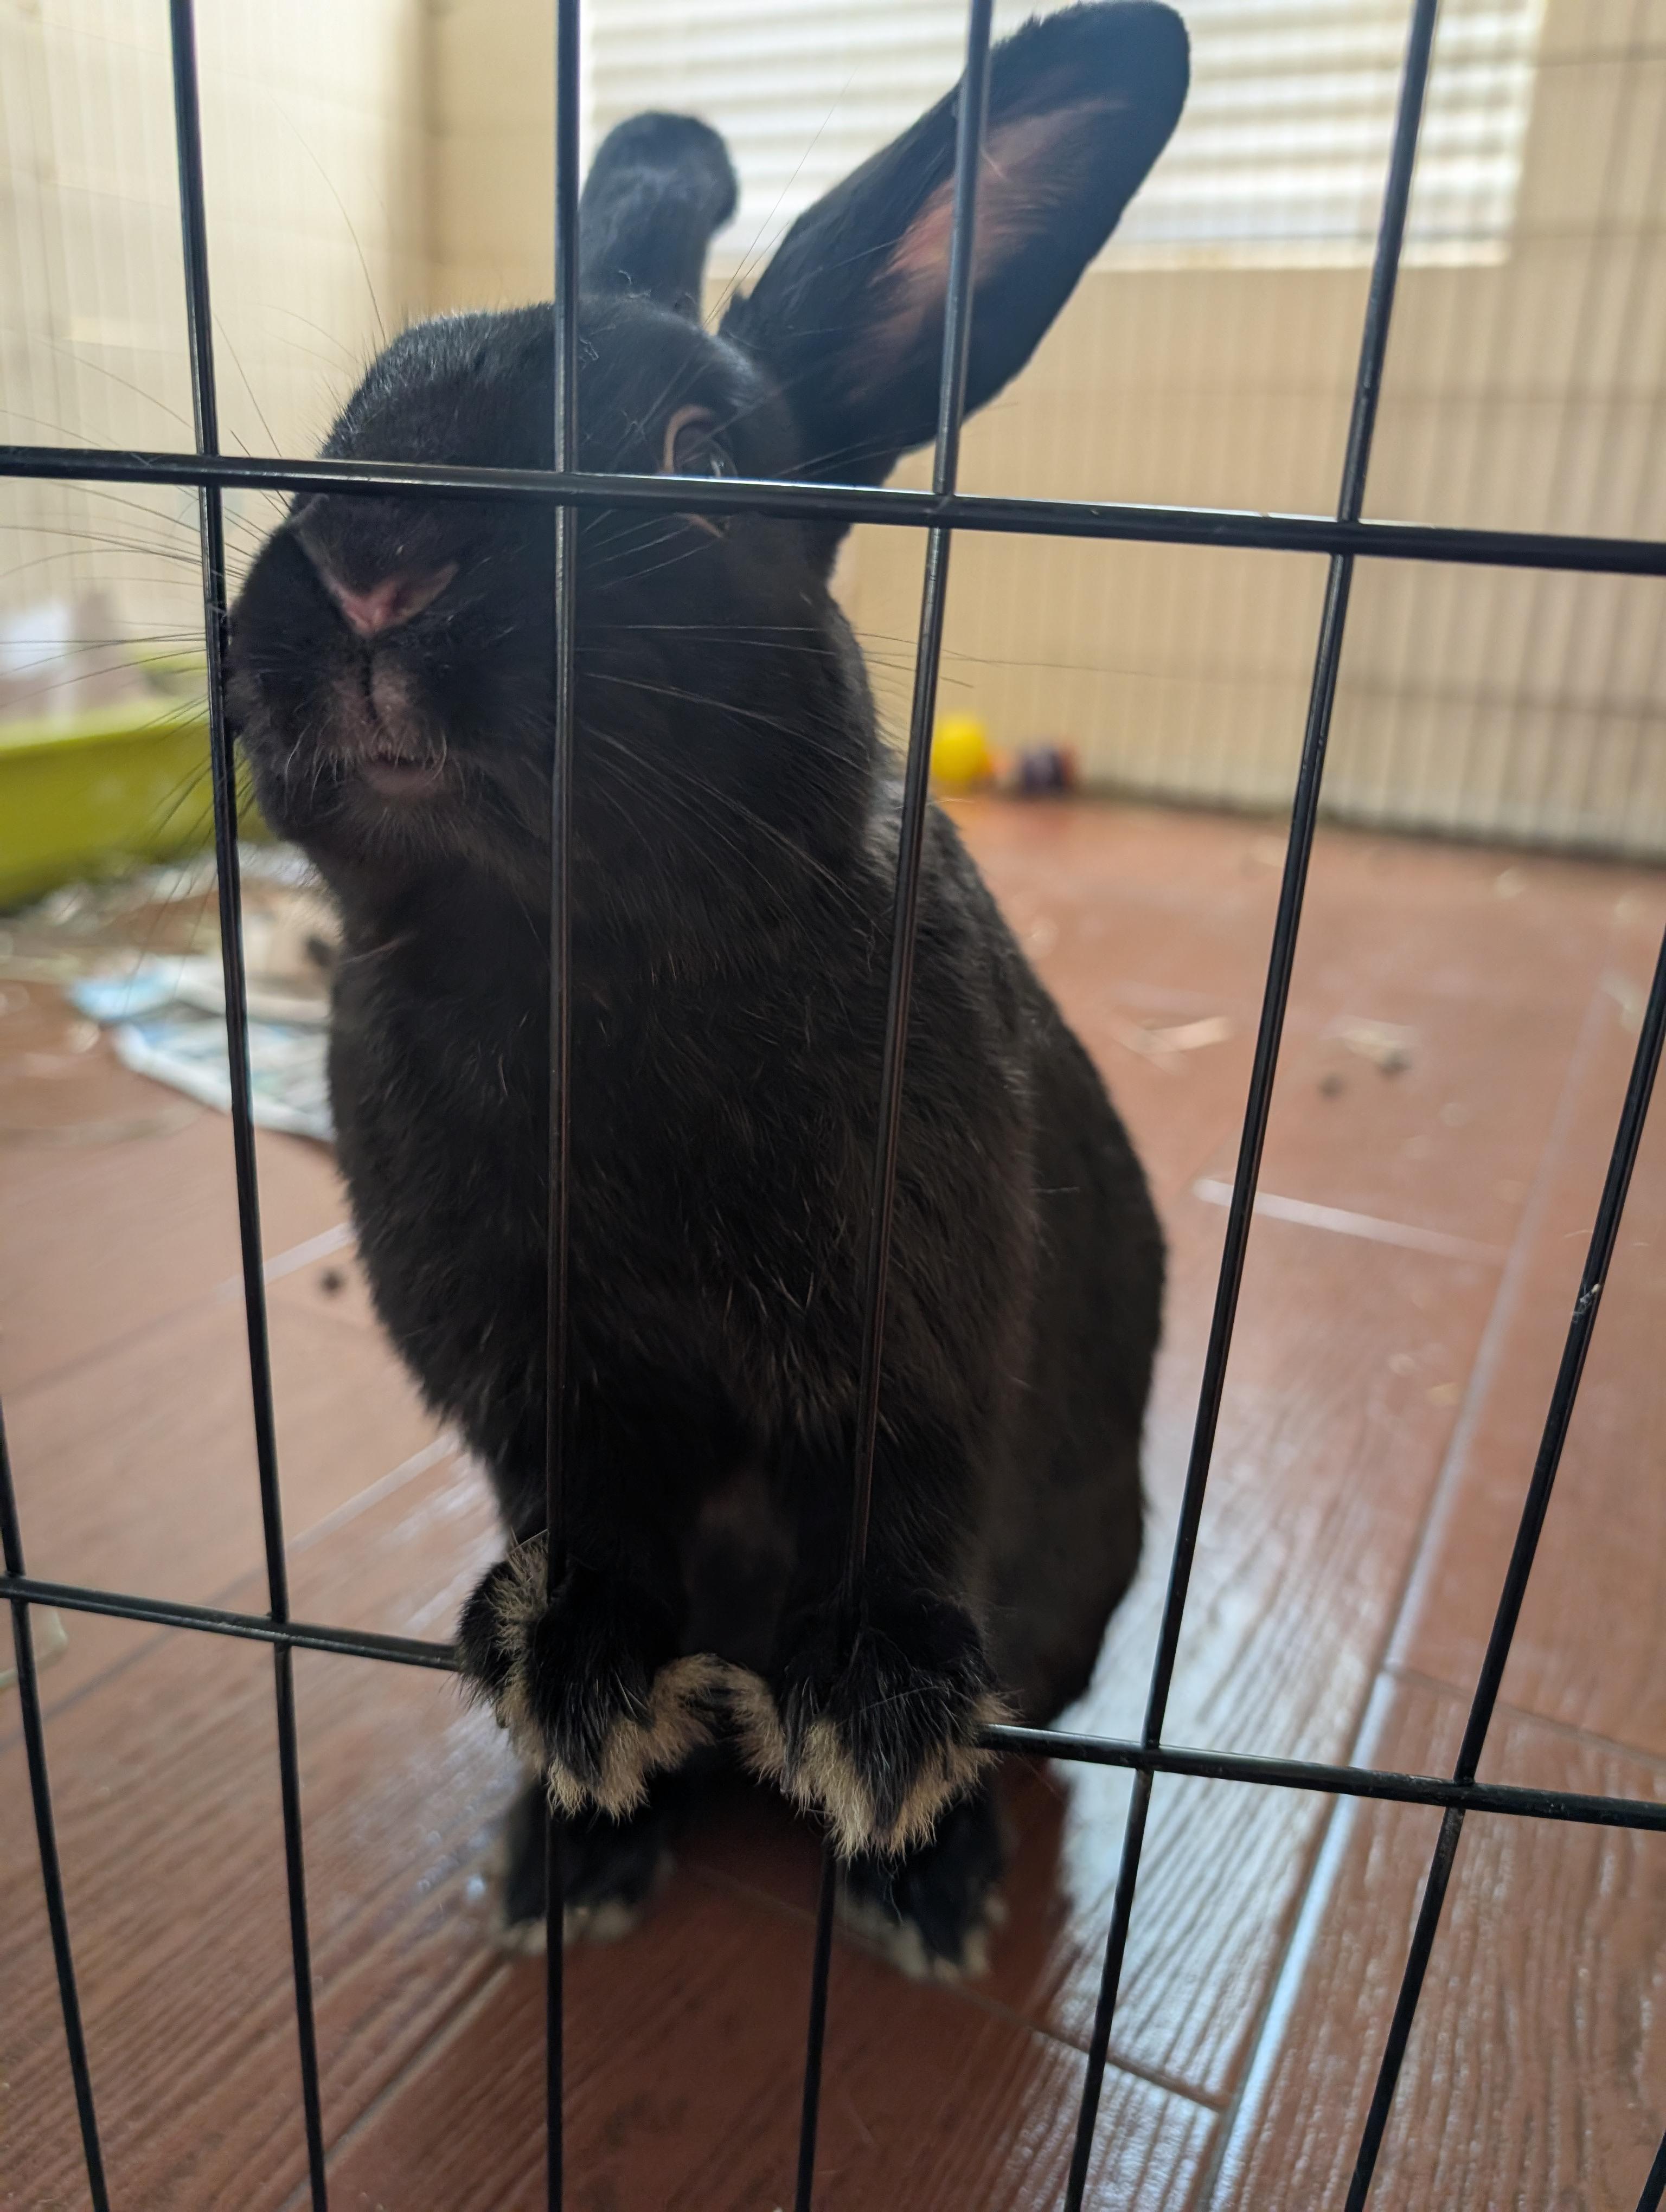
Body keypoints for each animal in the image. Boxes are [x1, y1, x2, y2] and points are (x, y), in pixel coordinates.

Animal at [228, 0, 1184, 1979]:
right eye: (354, 410)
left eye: (701, 459)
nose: (372, 567)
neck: (569, 954)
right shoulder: (533, 1388)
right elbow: (590, 1515)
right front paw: (575, 1689)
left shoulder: (927, 1326)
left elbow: (907, 1496)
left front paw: (884, 1735)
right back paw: (572, 1852)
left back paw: (928, 1883)